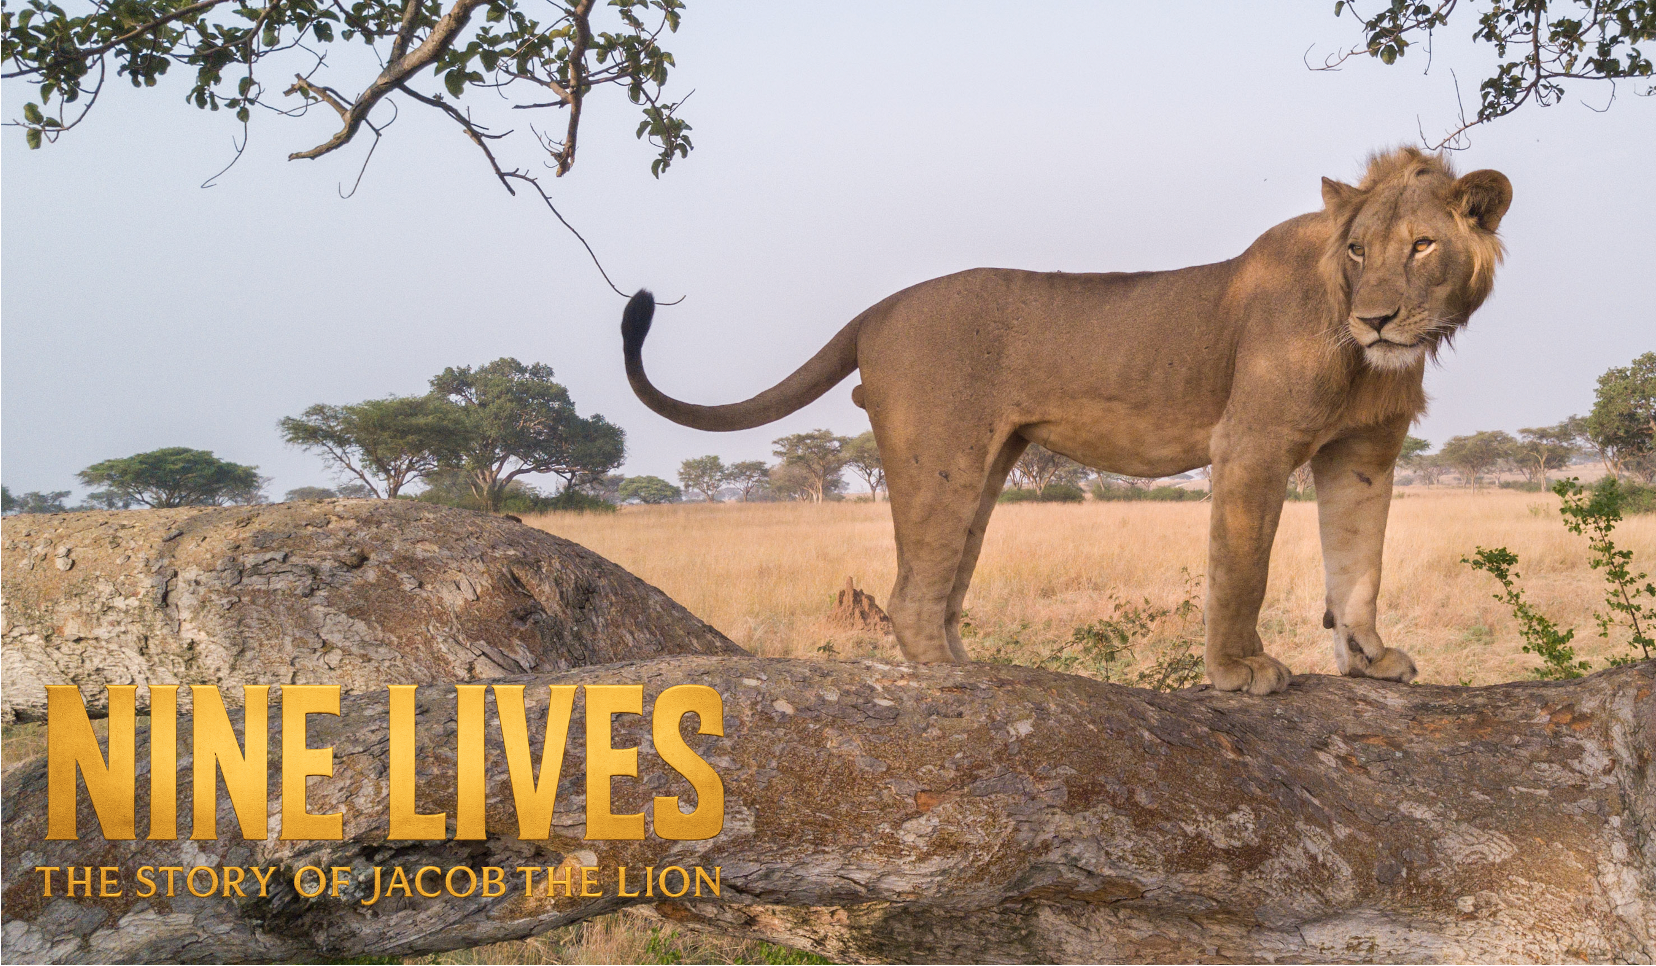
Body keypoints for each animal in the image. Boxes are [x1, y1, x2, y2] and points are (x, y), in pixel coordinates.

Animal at [621, 147, 1511, 694]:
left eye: (1422, 245)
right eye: (1358, 250)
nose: (1376, 319)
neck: (1362, 355)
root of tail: (877, 310)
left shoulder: (1363, 452)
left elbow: (1358, 565)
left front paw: (1369, 660)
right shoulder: (1250, 444)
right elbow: (1242, 570)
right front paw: (1238, 670)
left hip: (987, 464)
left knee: (942, 592)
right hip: (940, 455)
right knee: (911, 594)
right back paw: (958, 685)